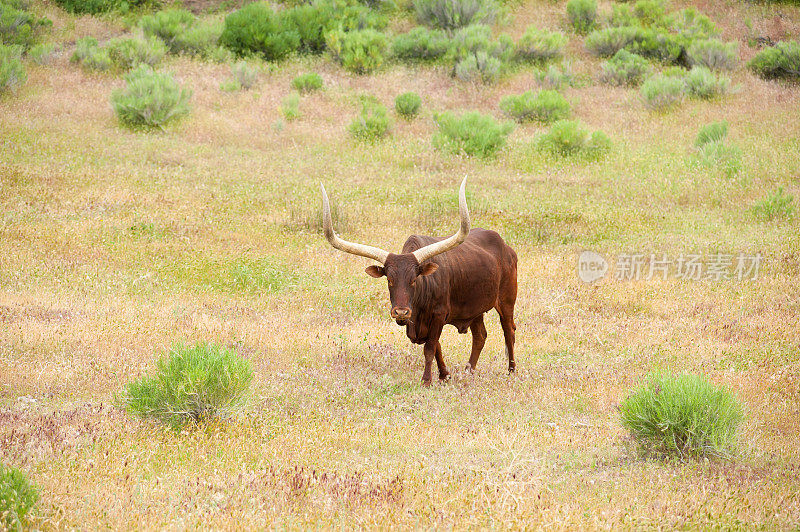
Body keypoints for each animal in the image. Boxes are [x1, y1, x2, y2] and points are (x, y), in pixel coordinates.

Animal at [320, 181, 520, 384]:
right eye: (389, 279)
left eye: (414, 280)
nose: (401, 312)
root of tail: (506, 247)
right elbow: (437, 346)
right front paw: (444, 375)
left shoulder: (439, 314)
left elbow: (430, 347)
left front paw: (426, 380)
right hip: (475, 307)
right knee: (480, 336)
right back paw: (468, 371)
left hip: (506, 299)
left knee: (508, 330)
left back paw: (511, 370)